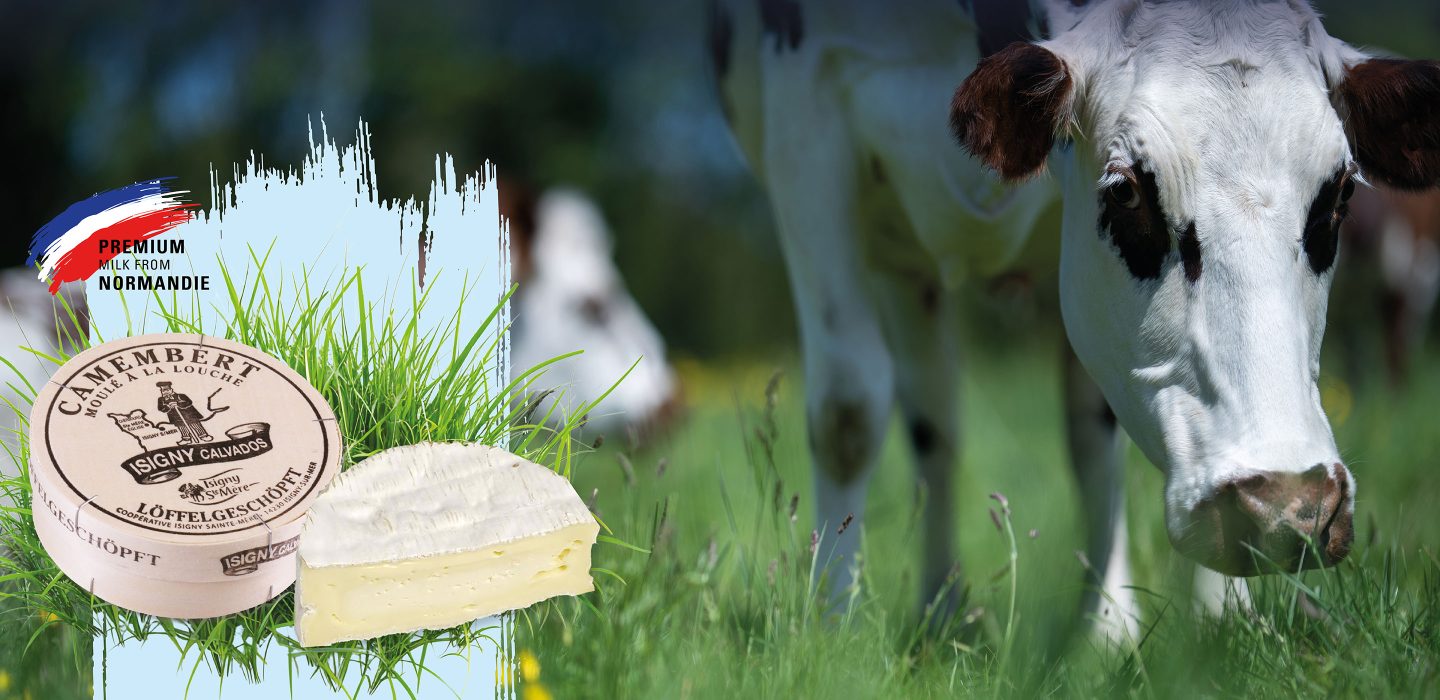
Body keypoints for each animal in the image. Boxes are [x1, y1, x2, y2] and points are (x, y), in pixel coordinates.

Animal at [711, 0, 1440, 642]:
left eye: (1339, 196)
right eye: (1126, 192)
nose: (1288, 508)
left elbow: (1094, 434)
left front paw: (1195, 630)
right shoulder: (808, 120)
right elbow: (848, 412)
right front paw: (831, 625)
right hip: (903, 258)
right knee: (934, 426)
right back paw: (944, 611)